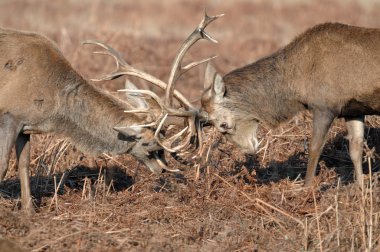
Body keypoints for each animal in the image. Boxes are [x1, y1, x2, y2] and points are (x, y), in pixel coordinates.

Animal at [0, 11, 223, 213]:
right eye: (151, 146)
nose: (162, 169)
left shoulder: (26, 126)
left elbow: (23, 165)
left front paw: (28, 212)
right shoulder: (10, 116)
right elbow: (3, 166)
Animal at [200, 22, 380, 189]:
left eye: (223, 125)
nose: (248, 151)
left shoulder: (325, 106)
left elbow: (314, 148)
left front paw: (306, 190)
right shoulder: (352, 110)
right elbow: (356, 149)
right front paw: (361, 190)